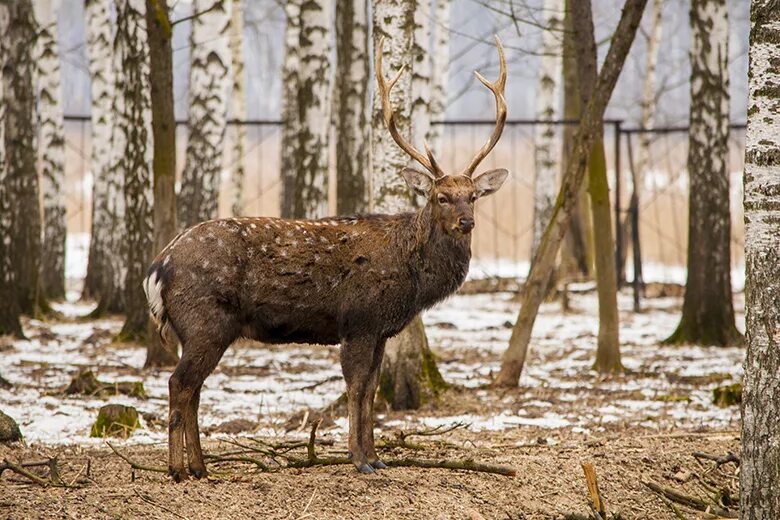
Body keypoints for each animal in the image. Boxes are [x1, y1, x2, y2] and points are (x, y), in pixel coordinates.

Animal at [145, 37, 512, 484]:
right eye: (440, 196)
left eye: (473, 195)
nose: (466, 222)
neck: (413, 281)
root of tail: (158, 267)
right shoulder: (359, 321)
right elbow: (355, 388)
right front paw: (358, 459)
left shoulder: (381, 331)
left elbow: (371, 390)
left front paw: (377, 456)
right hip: (204, 321)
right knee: (179, 383)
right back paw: (178, 470)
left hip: (201, 329)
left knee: (194, 388)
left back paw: (200, 467)